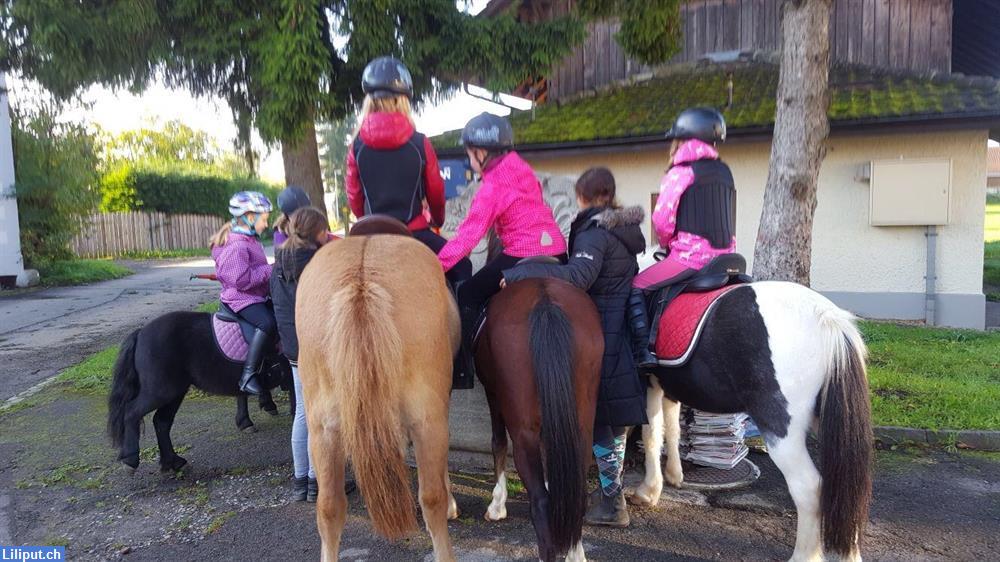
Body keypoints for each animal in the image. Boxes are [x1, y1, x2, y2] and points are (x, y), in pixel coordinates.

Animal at [108, 308, 290, 470]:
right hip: (160, 391)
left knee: (161, 421)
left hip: (176, 391)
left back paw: (173, 462)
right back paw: (130, 459)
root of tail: (140, 333)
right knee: (132, 412)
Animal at [476, 276, 600, 560]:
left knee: (541, 503)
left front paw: (497, 504)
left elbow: (498, 443)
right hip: (582, 426)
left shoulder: (493, 394)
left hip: (523, 431)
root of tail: (545, 300)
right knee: (576, 496)